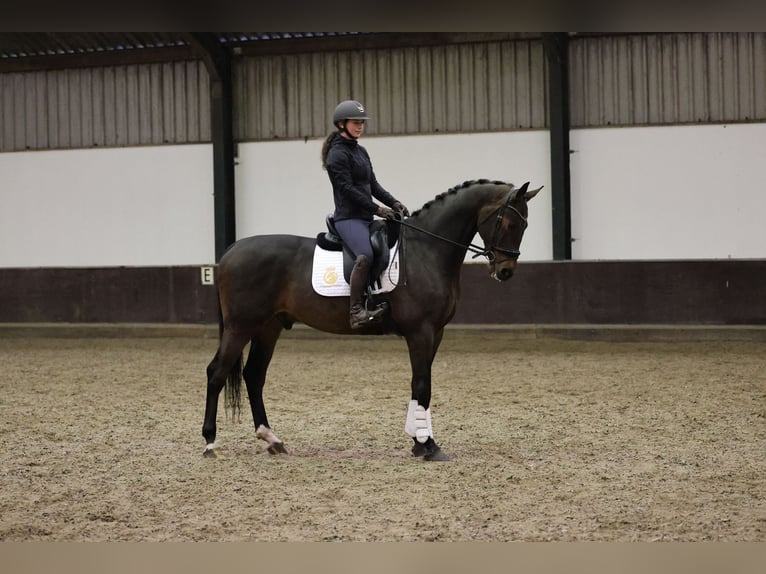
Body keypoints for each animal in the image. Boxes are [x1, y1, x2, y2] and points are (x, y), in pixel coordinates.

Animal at [202, 178, 542, 461]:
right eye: (508, 222)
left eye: (525, 225)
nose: (506, 271)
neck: (427, 251)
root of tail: (230, 251)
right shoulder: (421, 332)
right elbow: (422, 384)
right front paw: (428, 446)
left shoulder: (436, 333)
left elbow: (420, 385)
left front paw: (418, 441)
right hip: (240, 326)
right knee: (217, 373)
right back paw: (210, 443)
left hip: (268, 328)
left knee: (254, 376)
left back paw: (271, 439)